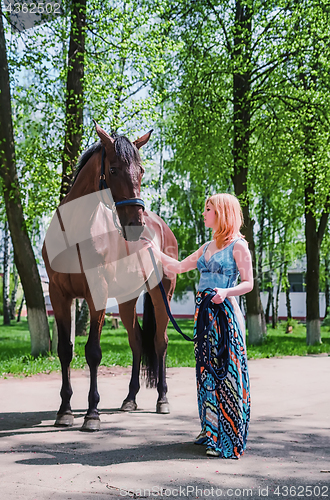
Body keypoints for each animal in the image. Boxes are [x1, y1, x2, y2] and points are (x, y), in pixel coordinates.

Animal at [42, 123, 179, 432]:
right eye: (113, 169)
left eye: (141, 170)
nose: (135, 225)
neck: (74, 234)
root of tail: (162, 228)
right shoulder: (59, 295)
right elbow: (65, 350)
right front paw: (64, 411)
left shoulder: (98, 294)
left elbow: (93, 352)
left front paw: (92, 414)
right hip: (127, 301)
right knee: (137, 341)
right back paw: (130, 399)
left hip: (161, 294)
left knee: (160, 342)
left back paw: (162, 400)